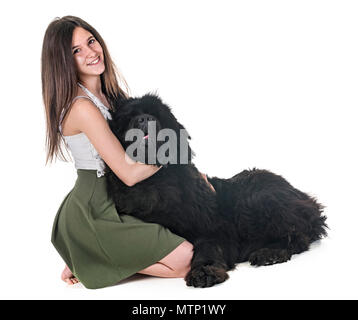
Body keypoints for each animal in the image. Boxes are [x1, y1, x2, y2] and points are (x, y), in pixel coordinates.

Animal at [105, 94, 328, 288]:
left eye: (157, 115)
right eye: (130, 117)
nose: (145, 119)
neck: (155, 182)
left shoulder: (213, 228)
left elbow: (208, 248)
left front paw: (204, 272)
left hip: (256, 197)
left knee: (297, 234)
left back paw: (269, 254)